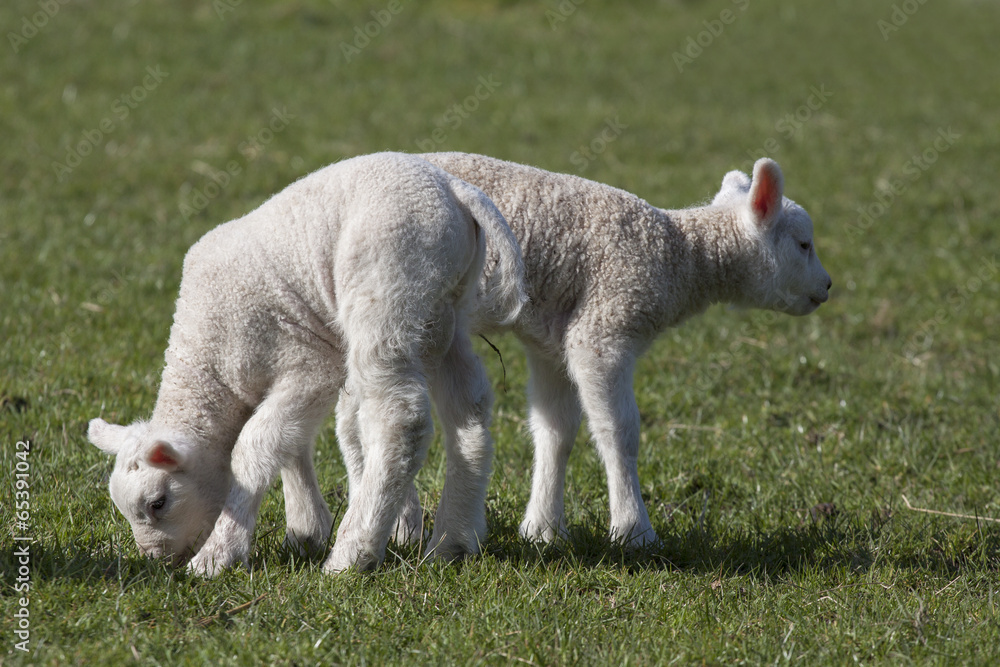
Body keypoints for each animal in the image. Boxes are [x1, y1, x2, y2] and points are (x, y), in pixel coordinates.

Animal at [88, 152, 526, 575]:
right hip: (444, 312)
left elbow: (256, 446)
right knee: (468, 409)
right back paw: (453, 543)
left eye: (158, 502)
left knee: (401, 420)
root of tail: (455, 190)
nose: (156, 561)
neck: (215, 370)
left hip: (389, 292)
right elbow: (291, 444)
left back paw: (353, 554)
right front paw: (305, 528)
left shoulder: (310, 364)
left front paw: (218, 556)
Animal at [414, 152, 832, 547]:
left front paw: (544, 530)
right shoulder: (602, 330)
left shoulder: (550, 340)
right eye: (804, 244)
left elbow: (555, 429)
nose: (827, 286)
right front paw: (635, 531)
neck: (682, 257)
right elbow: (620, 431)